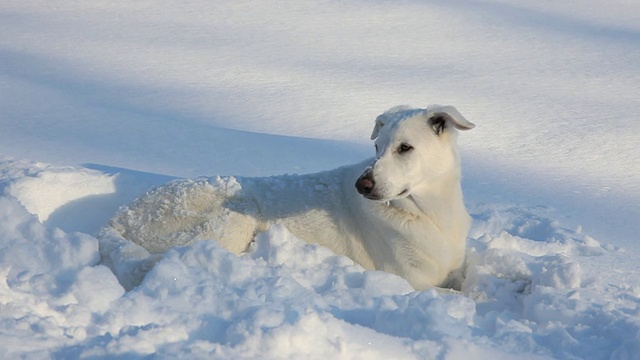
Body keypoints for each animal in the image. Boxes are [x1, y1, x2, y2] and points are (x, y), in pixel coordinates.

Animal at [102, 105, 476, 290]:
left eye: (404, 148)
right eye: (376, 147)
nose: (362, 184)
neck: (429, 213)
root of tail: (117, 218)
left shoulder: (453, 267)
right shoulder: (411, 280)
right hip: (234, 216)